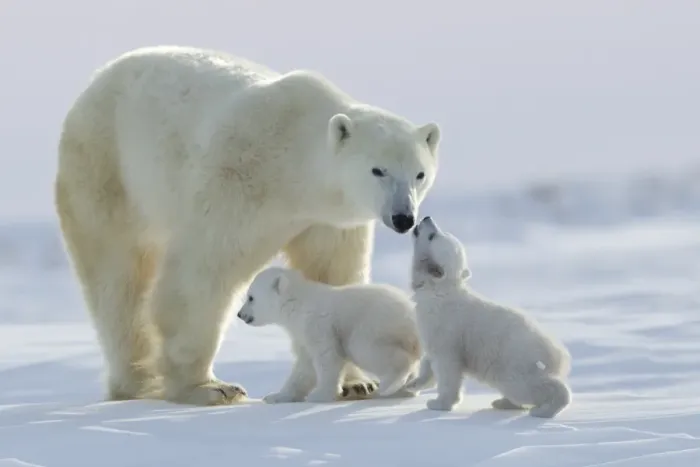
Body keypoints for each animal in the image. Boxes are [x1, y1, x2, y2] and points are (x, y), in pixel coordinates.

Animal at [236, 266, 422, 403]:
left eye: (250, 297)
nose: (240, 314)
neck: (298, 304)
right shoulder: (302, 335)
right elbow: (304, 368)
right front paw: (276, 396)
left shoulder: (317, 324)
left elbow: (327, 357)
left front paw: (320, 395)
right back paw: (402, 390)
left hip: (375, 325)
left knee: (366, 348)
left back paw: (388, 385)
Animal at [405, 216, 572, 418]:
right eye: (436, 232)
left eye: (432, 235)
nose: (426, 218)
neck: (438, 291)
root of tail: (559, 355)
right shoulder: (431, 330)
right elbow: (429, 359)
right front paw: (413, 384)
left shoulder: (447, 329)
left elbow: (448, 367)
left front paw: (438, 403)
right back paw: (502, 402)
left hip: (516, 362)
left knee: (528, 386)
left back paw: (544, 409)